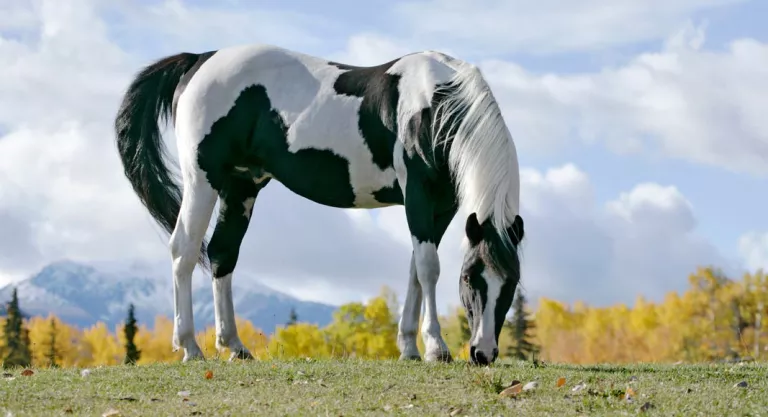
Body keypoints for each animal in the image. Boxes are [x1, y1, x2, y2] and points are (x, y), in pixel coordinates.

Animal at [114, 43, 524, 364]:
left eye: (512, 283)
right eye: (470, 278)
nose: (483, 353)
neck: (434, 103)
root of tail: (199, 60)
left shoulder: (443, 206)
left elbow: (416, 271)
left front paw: (409, 347)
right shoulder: (418, 195)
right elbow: (428, 269)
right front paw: (436, 348)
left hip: (240, 186)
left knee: (221, 254)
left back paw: (234, 346)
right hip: (203, 180)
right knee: (183, 250)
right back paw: (189, 347)